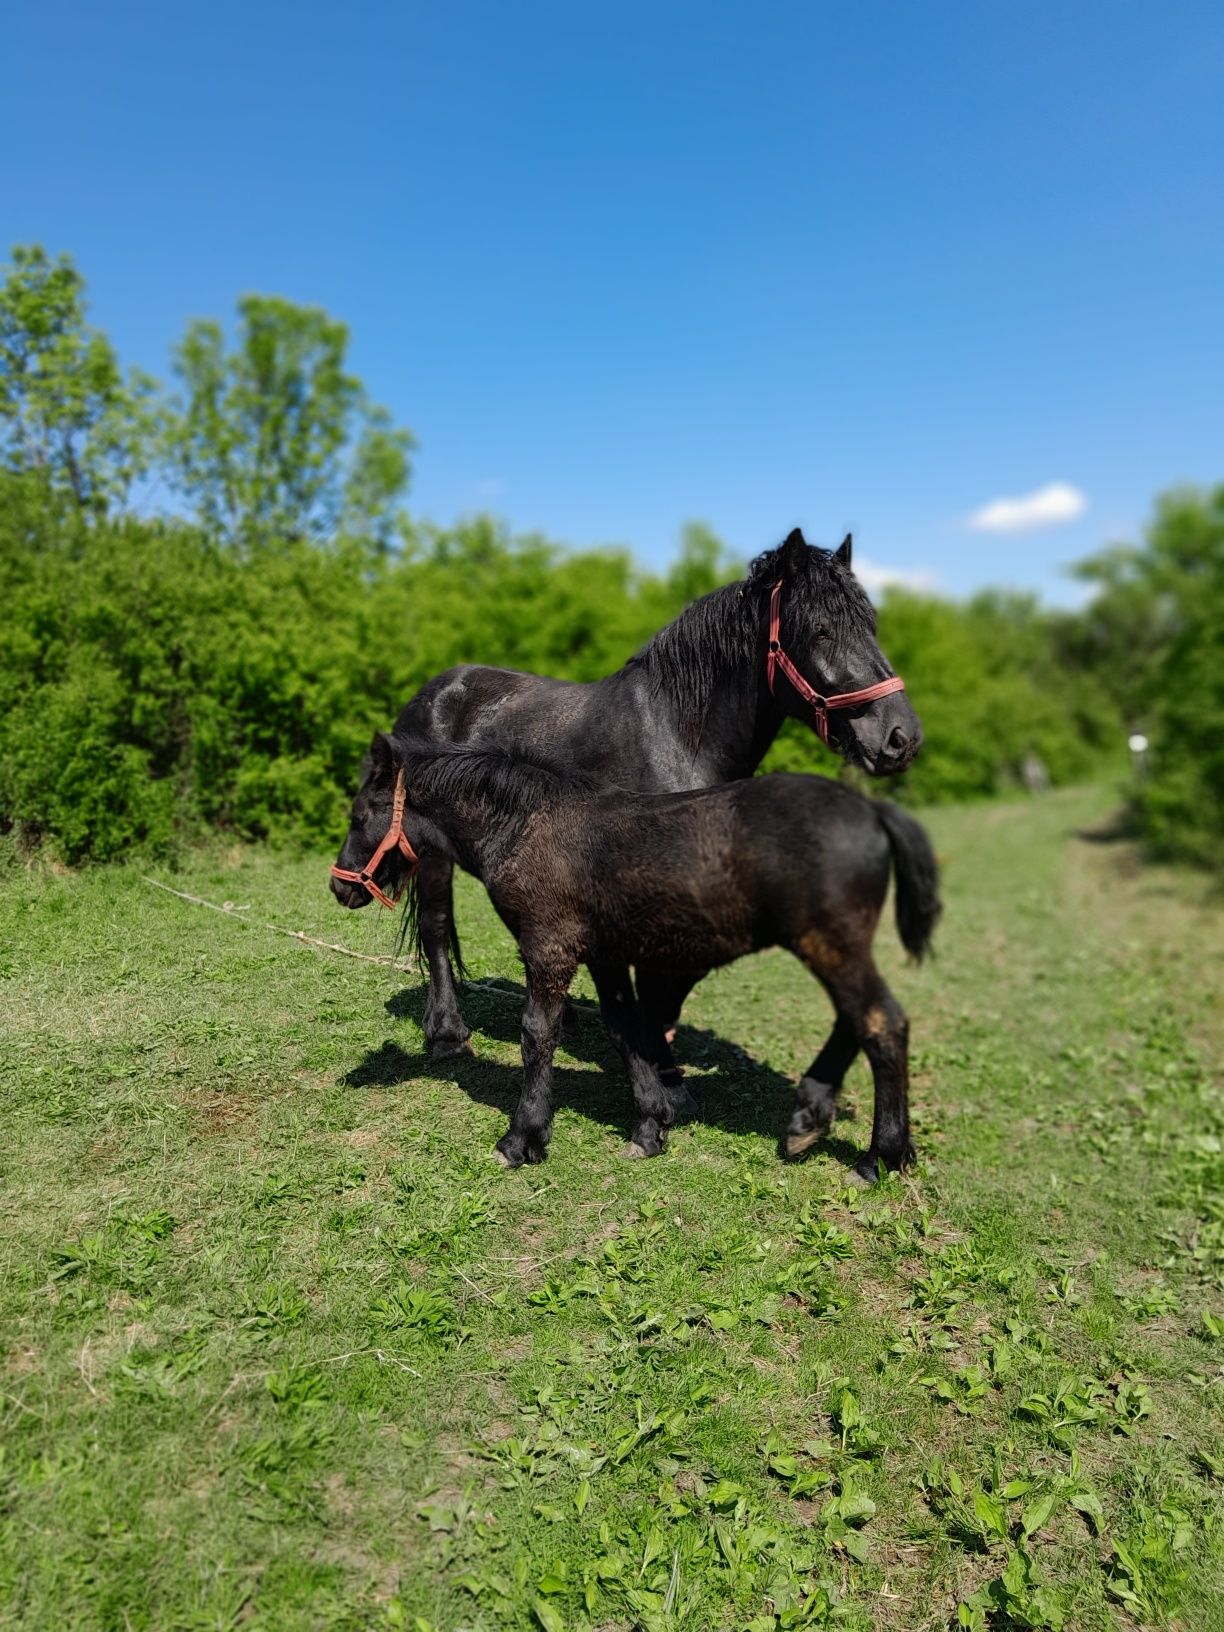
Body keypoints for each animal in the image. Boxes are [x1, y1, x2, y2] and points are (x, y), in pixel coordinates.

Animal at [331, 734, 946, 1181]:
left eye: (360, 815)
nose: (340, 887)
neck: (525, 824)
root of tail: (871, 809)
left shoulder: (549, 947)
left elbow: (537, 1034)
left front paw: (522, 1138)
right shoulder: (604, 953)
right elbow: (626, 1029)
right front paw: (651, 1126)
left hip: (831, 945)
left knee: (882, 1023)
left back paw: (880, 1156)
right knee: (857, 1021)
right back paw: (809, 1118)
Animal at [390, 528, 920, 1077]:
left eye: (871, 625)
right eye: (820, 632)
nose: (901, 737)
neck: (677, 737)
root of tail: (432, 694)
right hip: (432, 852)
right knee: (435, 926)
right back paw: (447, 1034)